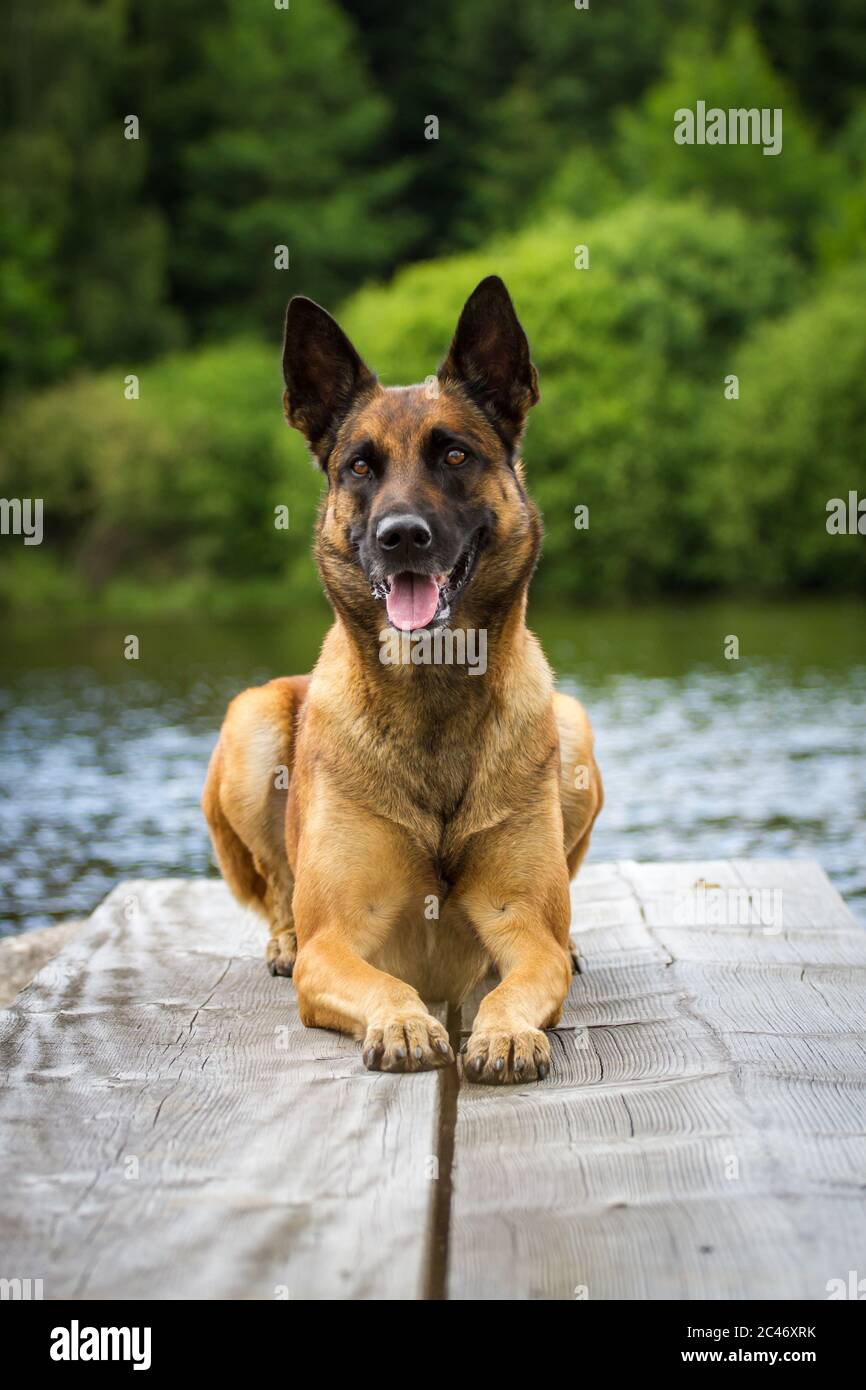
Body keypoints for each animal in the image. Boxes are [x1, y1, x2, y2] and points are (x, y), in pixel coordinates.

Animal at [202, 276, 603, 1084]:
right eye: (359, 467)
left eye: (453, 454)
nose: (401, 537)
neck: (434, 698)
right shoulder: (338, 941)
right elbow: (378, 979)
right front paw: (406, 1023)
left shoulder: (522, 928)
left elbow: (518, 981)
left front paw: (505, 1033)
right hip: (252, 722)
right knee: (280, 891)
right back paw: (282, 941)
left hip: (574, 729)